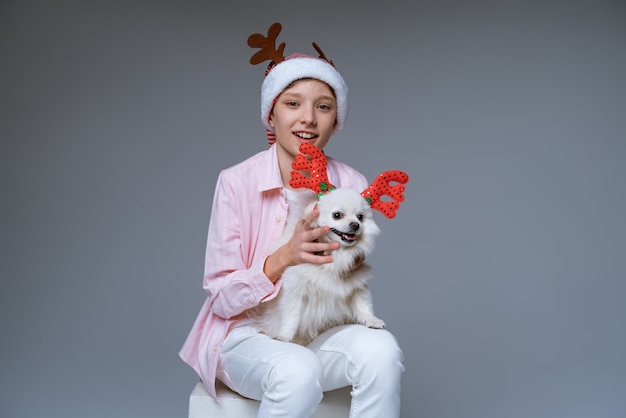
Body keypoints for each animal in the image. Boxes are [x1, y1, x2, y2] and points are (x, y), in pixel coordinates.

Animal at [246, 186, 382, 346]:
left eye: (360, 217)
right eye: (337, 215)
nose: (356, 225)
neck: (334, 256)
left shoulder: (357, 284)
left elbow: (363, 306)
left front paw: (371, 320)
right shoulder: (295, 290)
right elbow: (291, 317)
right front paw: (284, 335)